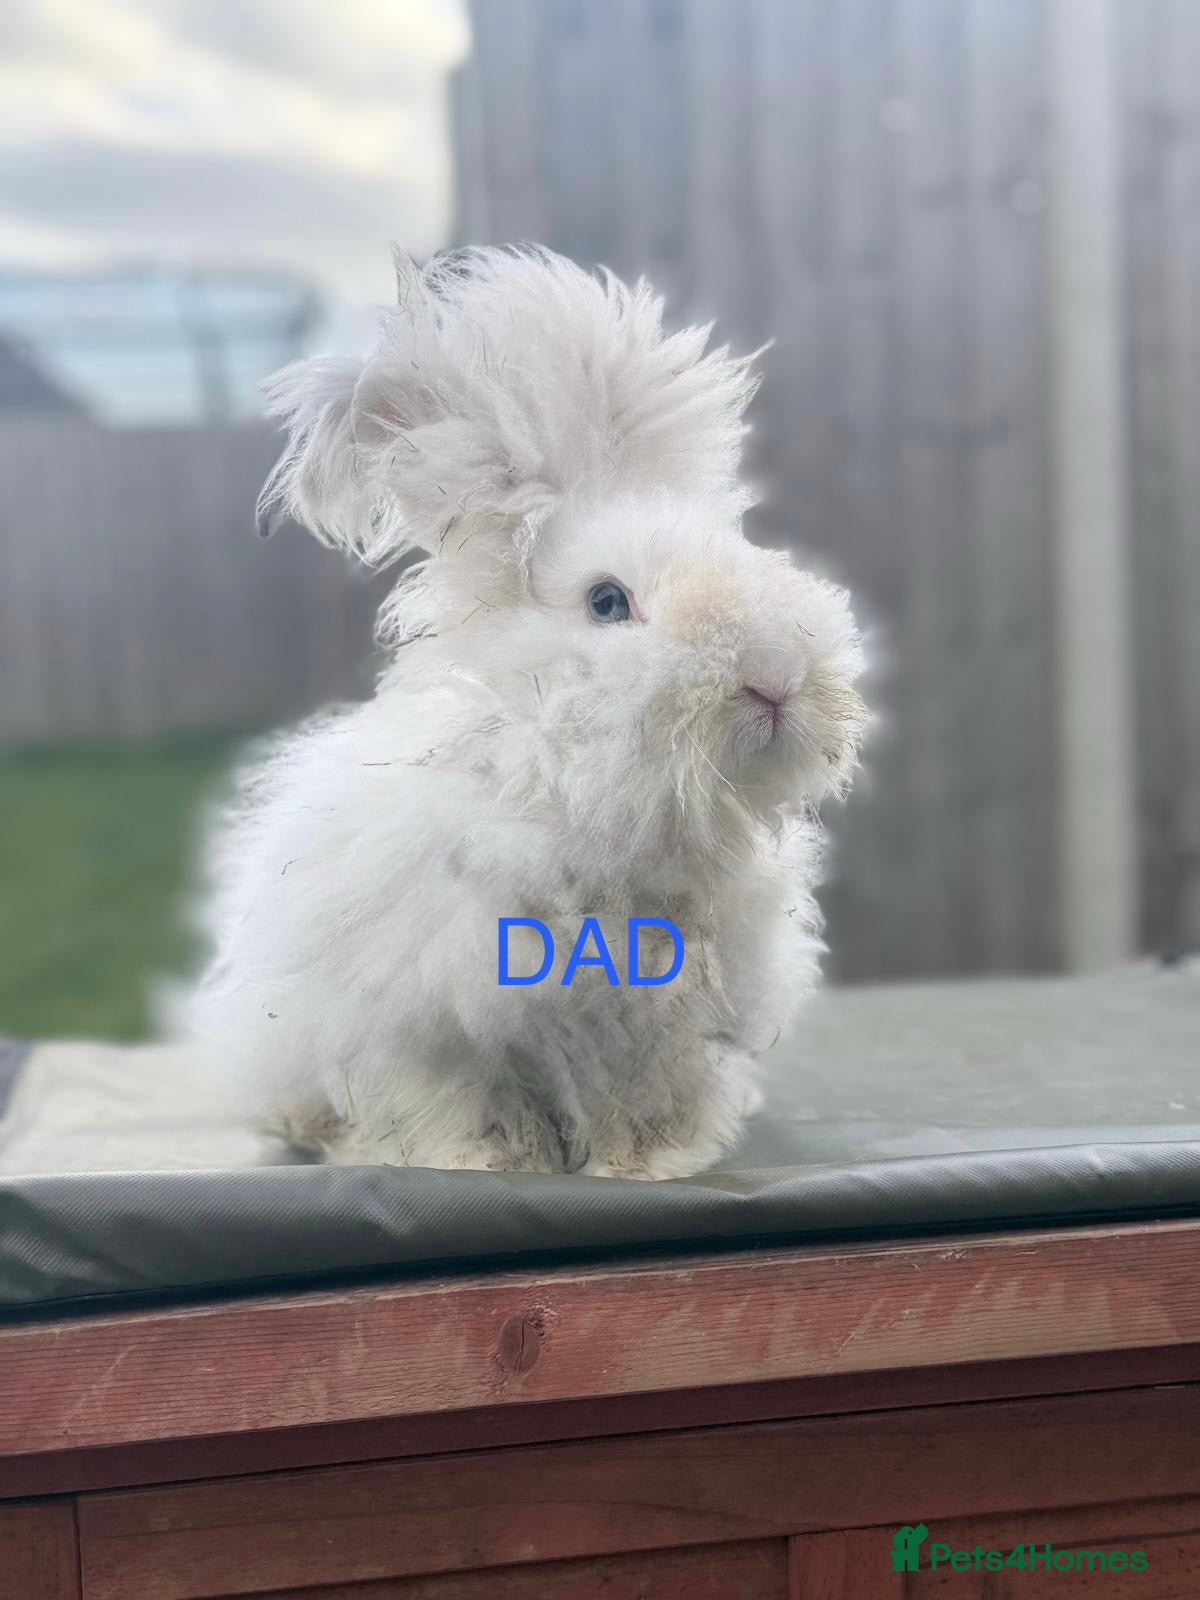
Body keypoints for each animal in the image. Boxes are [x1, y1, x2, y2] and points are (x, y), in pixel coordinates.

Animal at [183, 244, 866, 1180]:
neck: (573, 780)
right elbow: (454, 1100)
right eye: (608, 602)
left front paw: (652, 1163)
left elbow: (650, 1096)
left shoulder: (663, 1021)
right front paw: (488, 1162)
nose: (778, 679)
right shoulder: (436, 1017)